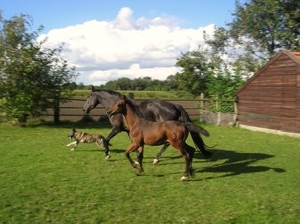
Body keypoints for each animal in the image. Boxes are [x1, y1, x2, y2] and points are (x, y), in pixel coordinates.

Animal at [82, 86, 213, 163]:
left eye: (88, 97)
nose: (84, 109)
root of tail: (175, 105)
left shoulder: (116, 128)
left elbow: (106, 139)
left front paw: (107, 155)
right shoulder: (129, 131)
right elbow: (134, 144)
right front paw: (137, 158)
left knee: (167, 144)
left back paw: (156, 158)